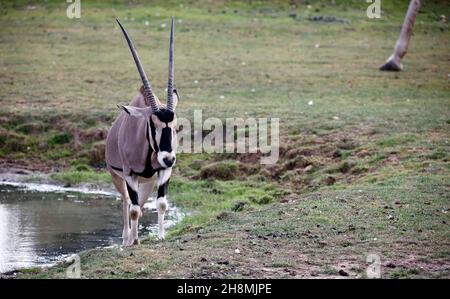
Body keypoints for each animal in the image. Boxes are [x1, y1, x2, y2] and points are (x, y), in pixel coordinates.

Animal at [106, 17, 179, 246]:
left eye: (175, 126)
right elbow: (134, 210)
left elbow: (161, 203)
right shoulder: (129, 175)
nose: (168, 158)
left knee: (137, 203)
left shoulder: (164, 172)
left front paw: (161, 236)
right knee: (126, 202)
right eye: (152, 124)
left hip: (147, 182)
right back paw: (127, 238)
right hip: (118, 177)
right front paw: (134, 241)